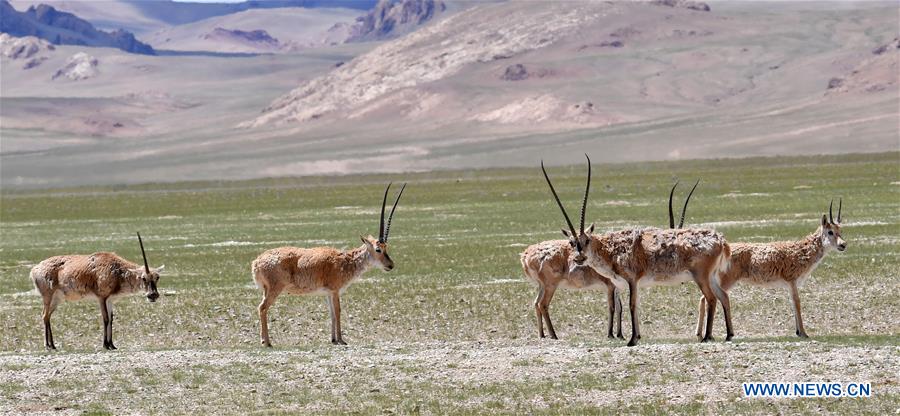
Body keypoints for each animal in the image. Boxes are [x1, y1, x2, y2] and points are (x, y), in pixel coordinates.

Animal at [29, 232, 165, 350]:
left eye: (157, 277)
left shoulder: (110, 300)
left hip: (56, 299)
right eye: (143, 278)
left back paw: (53, 345)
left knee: (48, 316)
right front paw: (105, 345)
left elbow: (111, 319)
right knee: (44, 315)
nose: (153, 295)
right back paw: (48, 345)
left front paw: (112, 345)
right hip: (48, 296)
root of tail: (35, 269)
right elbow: (105, 319)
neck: (117, 271)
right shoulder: (102, 298)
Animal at [253, 183, 408, 348]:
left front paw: (333, 339)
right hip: (275, 289)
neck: (346, 261)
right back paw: (266, 342)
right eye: (378, 249)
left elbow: (332, 314)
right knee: (262, 307)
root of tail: (257, 262)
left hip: (267, 290)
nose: (390, 265)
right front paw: (341, 340)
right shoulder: (335, 291)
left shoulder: (328, 293)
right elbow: (338, 311)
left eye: (386, 247)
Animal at [520, 154, 624, 340]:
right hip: (550, 285)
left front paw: (620, 334)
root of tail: (526, 255)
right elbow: (612, 307)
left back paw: (542, 334)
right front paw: (610, 334)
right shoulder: (610, 286)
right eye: (571, 243)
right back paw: (553, 335)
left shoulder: (617, 287)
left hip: (541, 285)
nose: (579, 258)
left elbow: (619, 308)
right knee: (543, 304)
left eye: (587, 240)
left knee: (536, 303)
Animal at [540, 158, 732, 346]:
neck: (611, 249)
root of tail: (720, 241)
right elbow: (636, 306)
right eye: (572, 242)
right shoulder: (632, 284)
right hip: (711, 277)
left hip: (701, 276)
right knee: (723, 296)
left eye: (586, 240)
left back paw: (707, 336)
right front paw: (637, 336)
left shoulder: (632, 280)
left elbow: (632, 305)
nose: (579, 257)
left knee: (711, 299)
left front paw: (632, 340)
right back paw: (729, 335)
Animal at [696, 198, 844, 338]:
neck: (802, 251)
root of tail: (723, 250)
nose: (843, 244)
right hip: (726, 281)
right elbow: (797, 302)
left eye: (840, 231)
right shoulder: (792, 281)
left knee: (705, 298)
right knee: (707, 298)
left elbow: (793, 303)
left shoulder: (790, 284)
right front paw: (803, 333)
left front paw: (798, 331)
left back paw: (701, 334)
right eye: (830, 232)